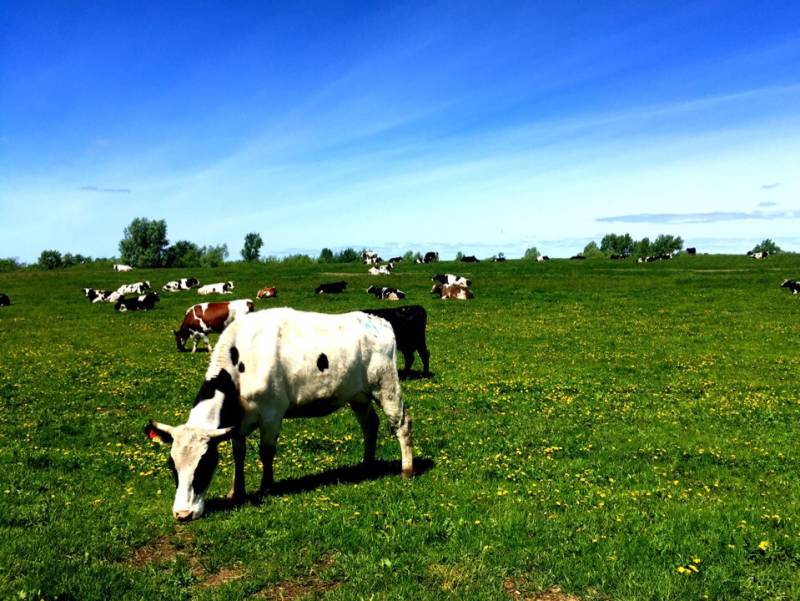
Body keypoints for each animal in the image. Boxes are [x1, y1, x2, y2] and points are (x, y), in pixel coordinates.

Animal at [144, 308, 416, 516]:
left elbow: (266, 453)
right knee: (370, 424)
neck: (239, 362)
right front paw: (236, 491)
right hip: (357, 396)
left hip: (386, 386)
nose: (183, 514)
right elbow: (238, 454)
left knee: (402, 424)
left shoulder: (272, 415)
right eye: (172, 466)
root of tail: (377, 319)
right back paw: (366, 465)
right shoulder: (237, 424)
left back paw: (406, 469)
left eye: (204, 463)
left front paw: (266, 488)